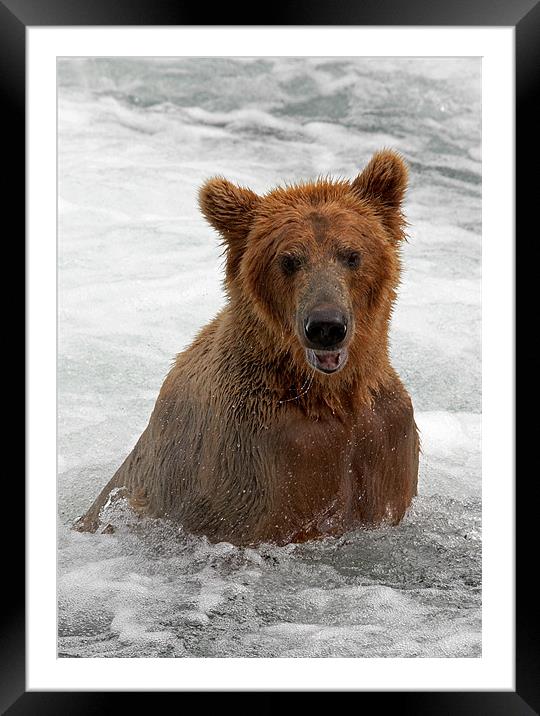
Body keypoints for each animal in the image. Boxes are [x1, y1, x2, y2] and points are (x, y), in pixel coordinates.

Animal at [76, 150, 420, 544]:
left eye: (351, 255)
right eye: (289, 260)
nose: (326, 327)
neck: (325, 392)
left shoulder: (384, 436)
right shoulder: (260, 457)